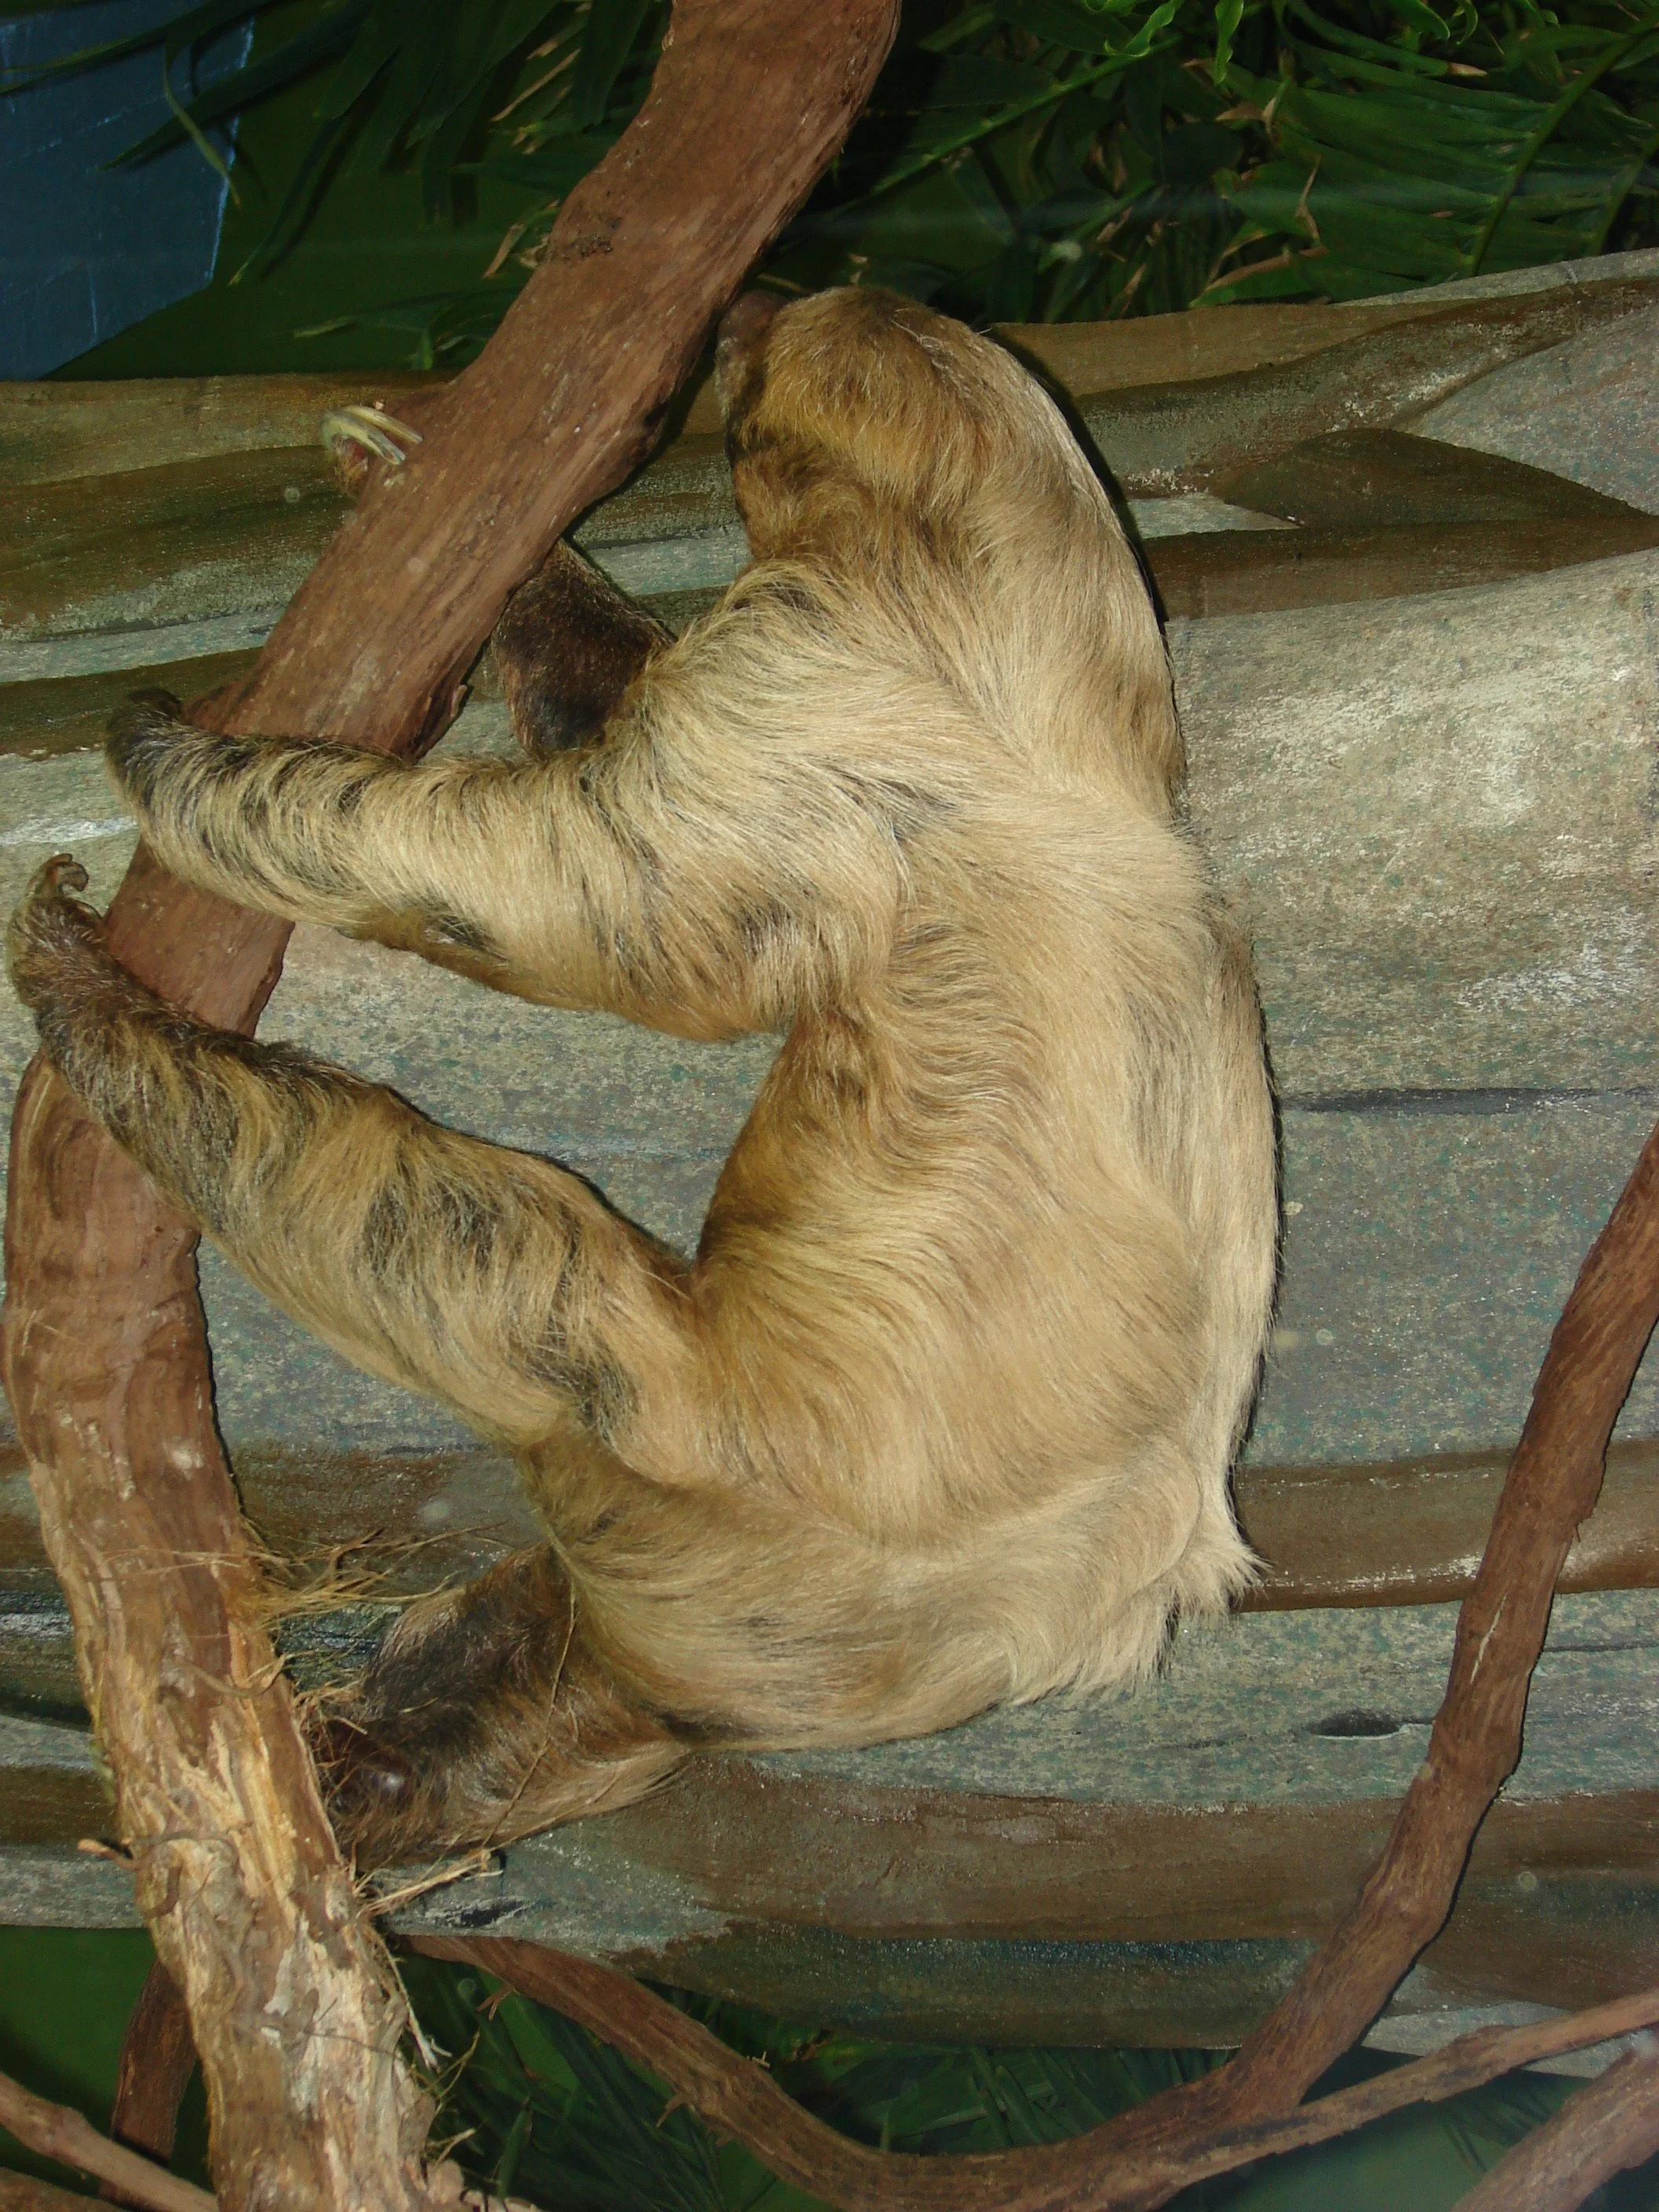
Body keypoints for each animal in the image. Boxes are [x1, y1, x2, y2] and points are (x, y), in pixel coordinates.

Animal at [7, 287, 1277, 1864]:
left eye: (759, 367)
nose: (742, 306)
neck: (1055, 655)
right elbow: (604, 703)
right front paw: (424, 487)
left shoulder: (812, 709)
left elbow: (578, 880)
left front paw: (165, 748)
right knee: (561, 1668)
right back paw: (393, 1757)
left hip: (722, 1481)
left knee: (499, 1278)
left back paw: (93, 1003)